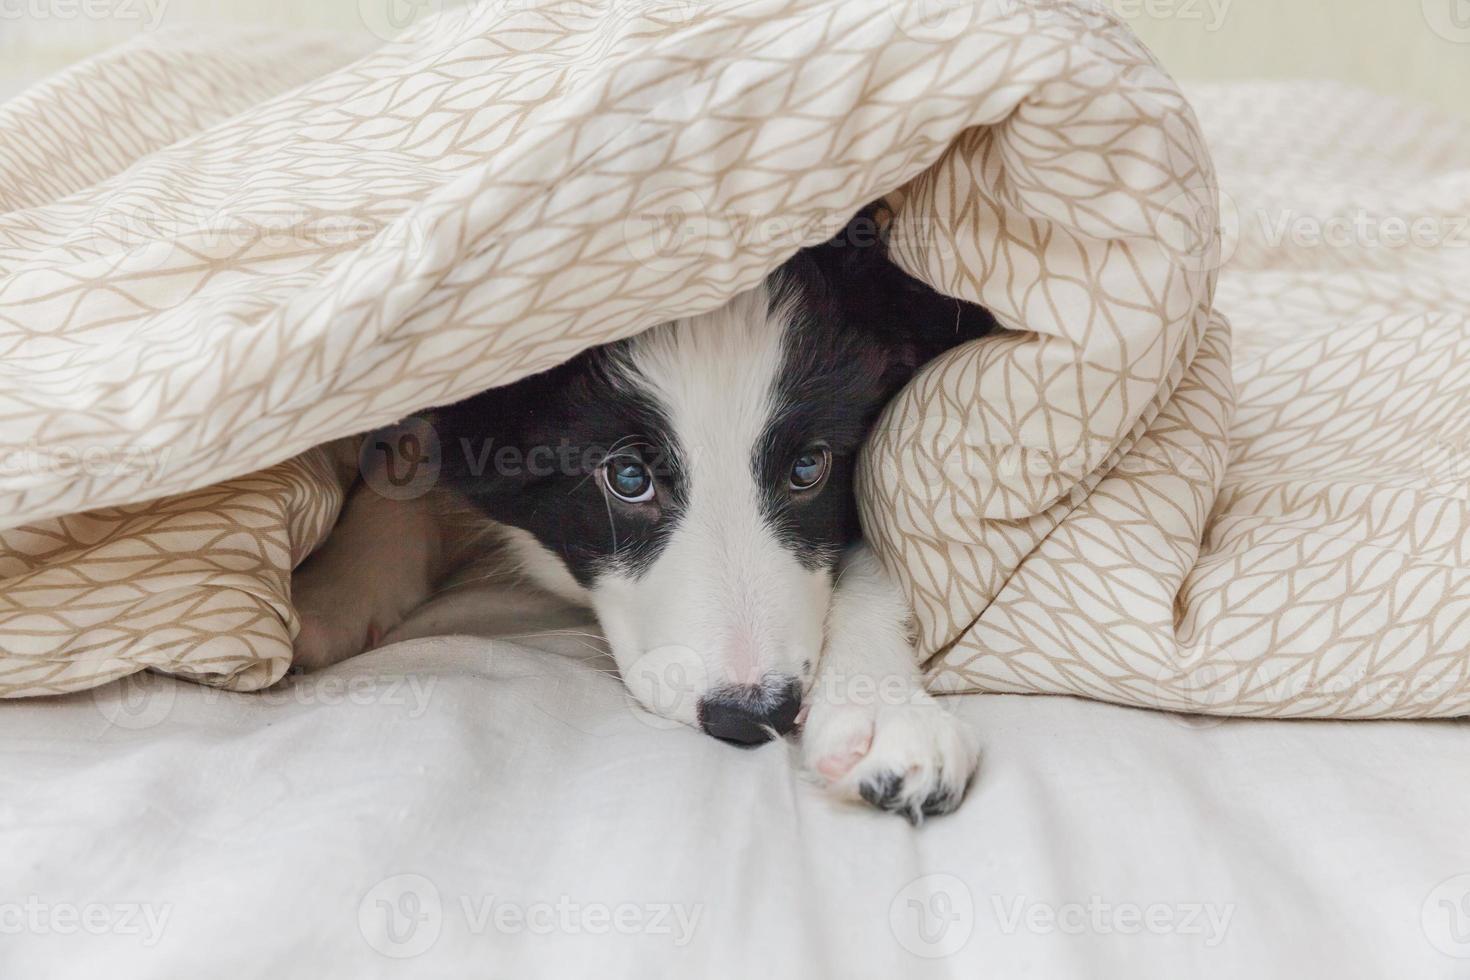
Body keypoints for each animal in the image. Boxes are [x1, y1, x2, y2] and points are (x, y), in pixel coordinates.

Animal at [291, 205, 993, 822]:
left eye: (808, 468)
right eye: (628, 478)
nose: (751, 714)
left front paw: (885, 711)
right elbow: (411, 462)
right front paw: (331, 593)